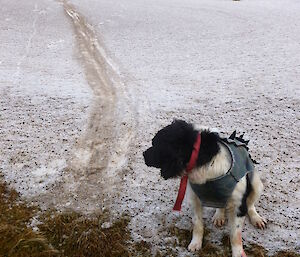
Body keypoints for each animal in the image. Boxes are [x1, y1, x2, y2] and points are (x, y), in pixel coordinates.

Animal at [144, 119, 268, 256]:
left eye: (156, 144)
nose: (143, 155)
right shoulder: (194, 199)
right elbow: (197, 224)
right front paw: (195, 243)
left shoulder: (239, 205)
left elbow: (235, 236)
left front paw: (238, 253)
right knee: (221, 205)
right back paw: (219, 216)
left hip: (256, 184)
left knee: (250, 204)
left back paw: (256, 218)